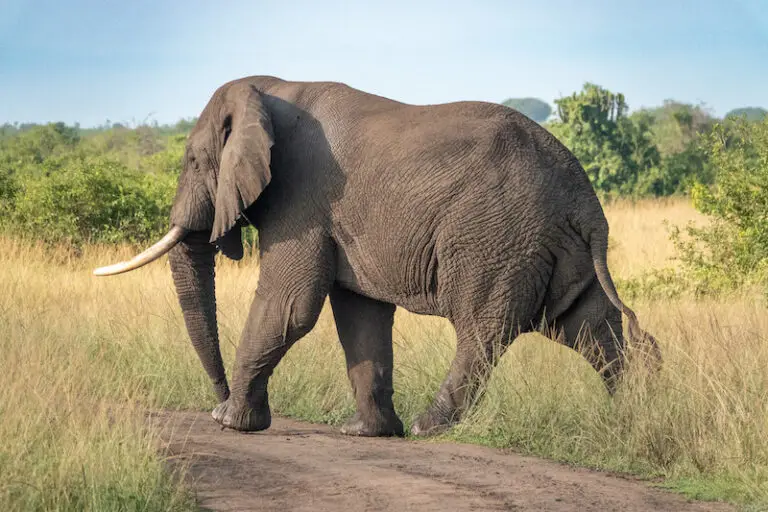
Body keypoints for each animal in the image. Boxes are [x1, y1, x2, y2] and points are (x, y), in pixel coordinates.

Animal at [95, 75, 660, 437]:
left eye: (194, 160)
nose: (214, 399)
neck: (270, 89)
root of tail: (585, 197)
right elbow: (359, 315)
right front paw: (366, 433)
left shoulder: (301, 199)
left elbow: (291, 305)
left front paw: (232, 423)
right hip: (555, 243)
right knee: (587, 327)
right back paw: (635, 417)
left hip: (497, 238)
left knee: (483, 331)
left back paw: (431, 428)